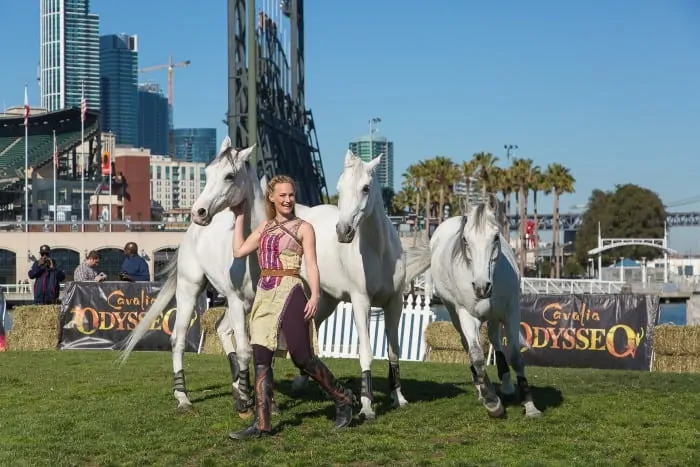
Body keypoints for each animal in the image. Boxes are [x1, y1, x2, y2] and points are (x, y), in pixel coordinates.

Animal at [118, 138, 266, 416]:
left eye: (230, 176)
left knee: (220, 329)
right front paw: (244, 401)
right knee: (178, 339)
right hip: (190, 290)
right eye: (207, 172)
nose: (199, 211)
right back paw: (183, 397)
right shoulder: (236, 301)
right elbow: (245, 350)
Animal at [292, 152, 426, 422]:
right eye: (339, 188)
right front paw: (367, 406)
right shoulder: (361, 302)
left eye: (365, 188)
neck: (379, 252)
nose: (343, 231)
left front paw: (399, 398)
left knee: (313, 328)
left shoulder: (394, 303)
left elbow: (394, 351)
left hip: (326, 301)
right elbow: (366, 351)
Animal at [404, 202, 540, 420]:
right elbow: (476, 356)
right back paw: (482, 389)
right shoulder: (466, 316)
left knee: (494, 340)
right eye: (466, 240)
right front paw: (492, 402)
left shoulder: (511, 311)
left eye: (496, 237)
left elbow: (516, 358)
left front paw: (529, 405)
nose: (481, 286)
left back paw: (506, 386)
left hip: (494, 317)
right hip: (454, 315)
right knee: (467, 345)